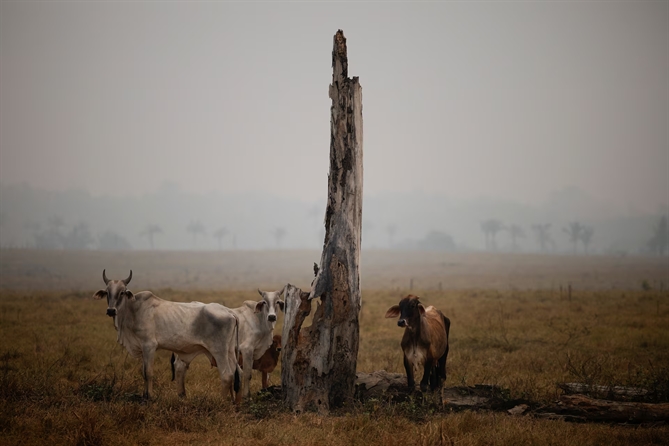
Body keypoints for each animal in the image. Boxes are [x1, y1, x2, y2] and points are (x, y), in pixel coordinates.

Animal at [94, 270, 240, 402]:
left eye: (122, 292)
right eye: (107, 292)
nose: (111, 310)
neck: (132, 310)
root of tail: (230, 312)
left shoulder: (149, 346)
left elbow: (148, 372)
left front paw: (150, 397)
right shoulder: (141, 348)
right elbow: (143, 372)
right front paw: (144, 395)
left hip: (218, 351)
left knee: (226, 375)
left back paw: (221, 401)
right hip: (230, 351)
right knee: (235, 373)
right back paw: (233, 401)